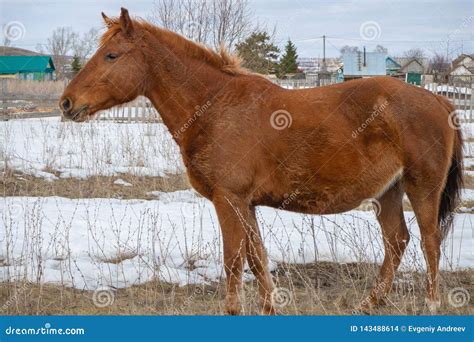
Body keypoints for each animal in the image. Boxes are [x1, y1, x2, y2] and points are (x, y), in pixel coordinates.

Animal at [60, 8, 462, 314]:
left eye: (112, 55)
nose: (66, 102)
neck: (215, 107)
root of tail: (439, 100)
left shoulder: (229, 200)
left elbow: (233, 260)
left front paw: (233, 310)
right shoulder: (246, 204)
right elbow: (257, 257)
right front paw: (269, 308)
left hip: (421, 189)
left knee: (429, 242)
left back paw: (430, 305)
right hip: (387, 192)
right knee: (397, 241)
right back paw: (369, 304)